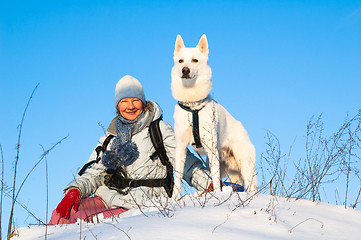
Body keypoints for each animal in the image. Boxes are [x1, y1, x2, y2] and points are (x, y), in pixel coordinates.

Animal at [171, 34, 256, 199]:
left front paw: (217, 196)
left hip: (244, 165)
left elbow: (216, 182)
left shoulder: (210, 147)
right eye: (180, 61)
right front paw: (173, 200)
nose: (185, 70)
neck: (193, 105)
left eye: (195, 60)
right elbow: (177, 178)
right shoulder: (180, 147)